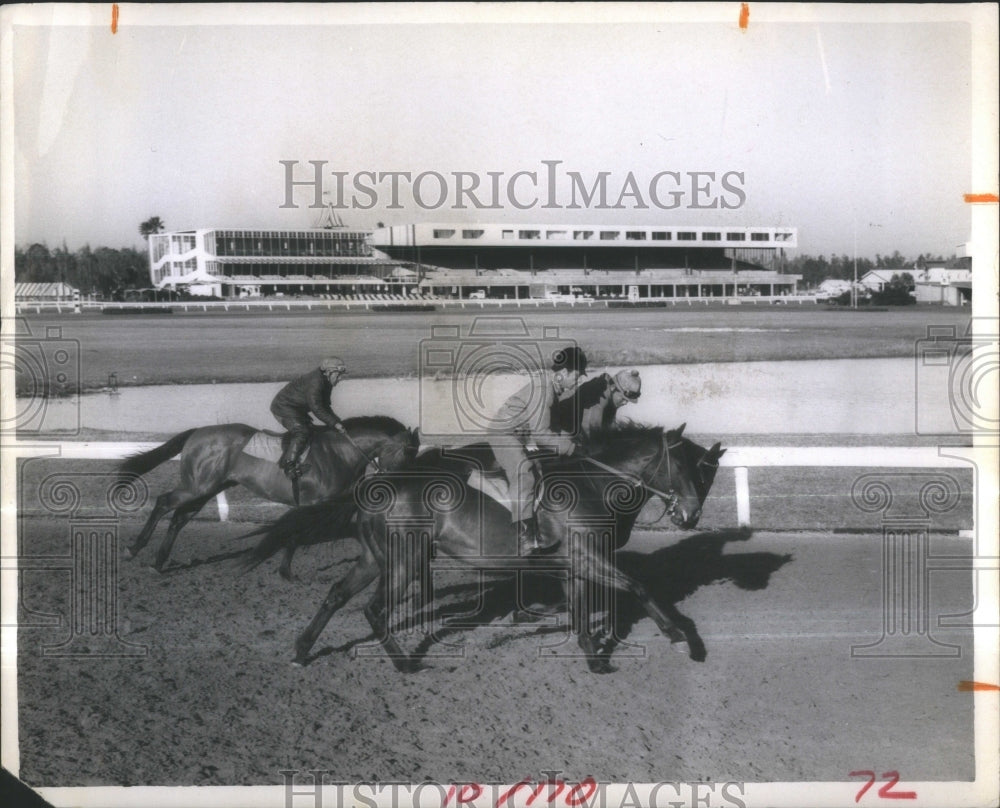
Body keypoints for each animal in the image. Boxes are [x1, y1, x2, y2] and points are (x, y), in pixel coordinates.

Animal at [120, 416, 418, 576]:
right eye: (407, 452)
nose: (404, 484)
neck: (342, 452)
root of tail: (198, 432)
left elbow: (295, 531)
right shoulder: (314, 504)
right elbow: (296, 532)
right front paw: (285, 570)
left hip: (209, 488)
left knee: (180, 517)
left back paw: (158, 561)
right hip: (197, 486)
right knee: (163, 503)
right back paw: (135, 549)